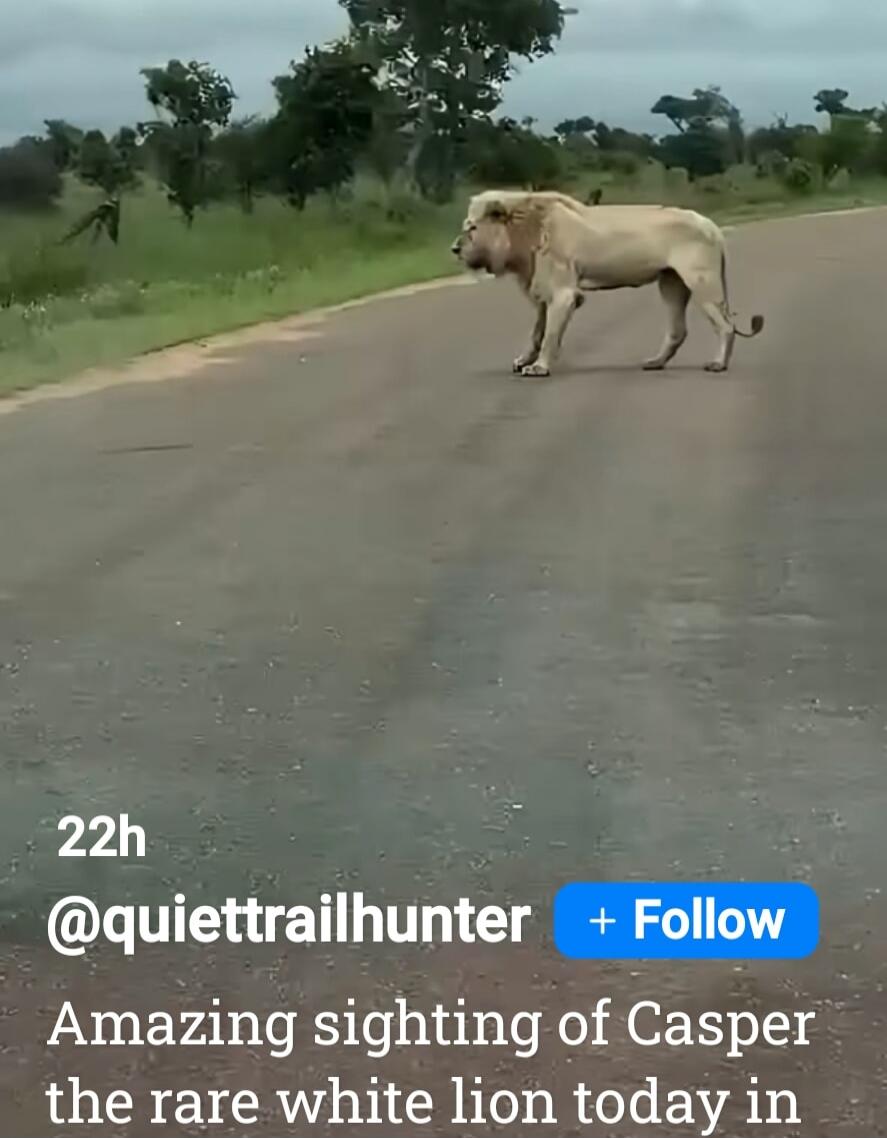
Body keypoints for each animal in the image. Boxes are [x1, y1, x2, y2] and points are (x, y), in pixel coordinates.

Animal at [451, 190, 764, 376]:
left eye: (472, 228)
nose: (454, 249)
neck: (524, 231)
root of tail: (711, 225)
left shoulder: (564, 294)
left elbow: (550, 335)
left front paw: (539, 367)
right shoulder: (542, 291)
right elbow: (536, 332)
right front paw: (524, 360)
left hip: (701, 281)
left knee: (725, 326)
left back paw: (718, 364)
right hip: (671, 283)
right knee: (678, 330)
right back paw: (655, 362)